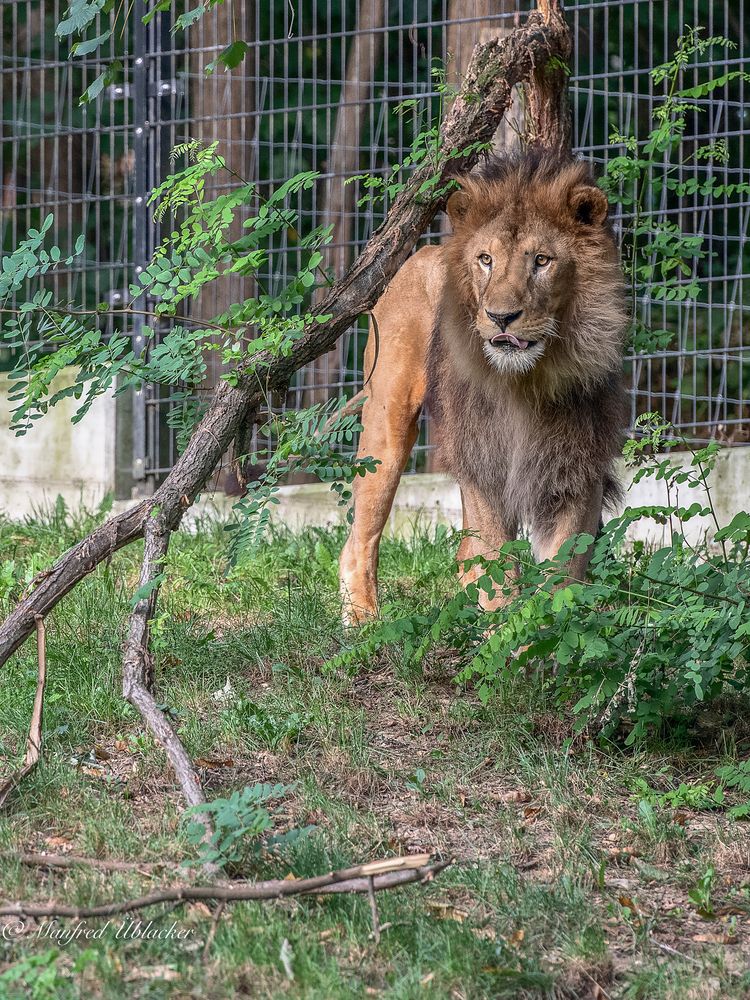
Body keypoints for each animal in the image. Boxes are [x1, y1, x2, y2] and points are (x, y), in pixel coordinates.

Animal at [340, 151, 628, 620]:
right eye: (486, 260)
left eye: (542, 261)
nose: (501, 317)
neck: (525, 383)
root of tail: (425, 251)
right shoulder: (483, 463)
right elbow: (498, 567)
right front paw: (504, 633)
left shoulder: (573, 470)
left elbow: (560, 576)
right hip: (387, 423)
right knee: (358, 540)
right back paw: (364, 623)